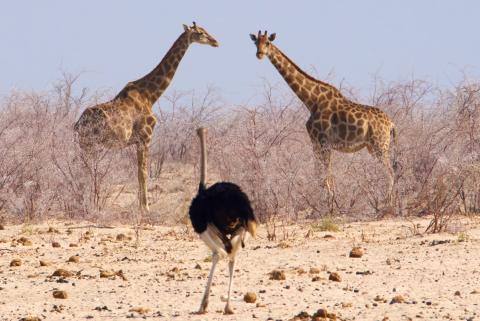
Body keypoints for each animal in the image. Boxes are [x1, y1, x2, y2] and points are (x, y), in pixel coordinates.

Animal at [75, 23, 219, 212]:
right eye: (200, 33)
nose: (215, 42)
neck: (150, 95)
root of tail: (77, 124)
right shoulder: (145, 137)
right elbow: (143, 172)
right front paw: (146, 208)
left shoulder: (138, 141)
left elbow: (139, 172)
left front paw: (142, 206)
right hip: (89, 143)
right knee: (84, 169)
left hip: (86, 144)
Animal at [251, 30, 398, 210]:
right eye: (256, 42)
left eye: (268, 43)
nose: (259, 54)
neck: (311, 100)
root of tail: (391, 124)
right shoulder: (315, 142)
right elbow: (320, 175)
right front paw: (324, 205)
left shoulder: (324, 142)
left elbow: (324, 176)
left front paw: (327, 206)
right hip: (373, 147)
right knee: (389, 172)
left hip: (380, 145)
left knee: (390, 172)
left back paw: (387, 205)